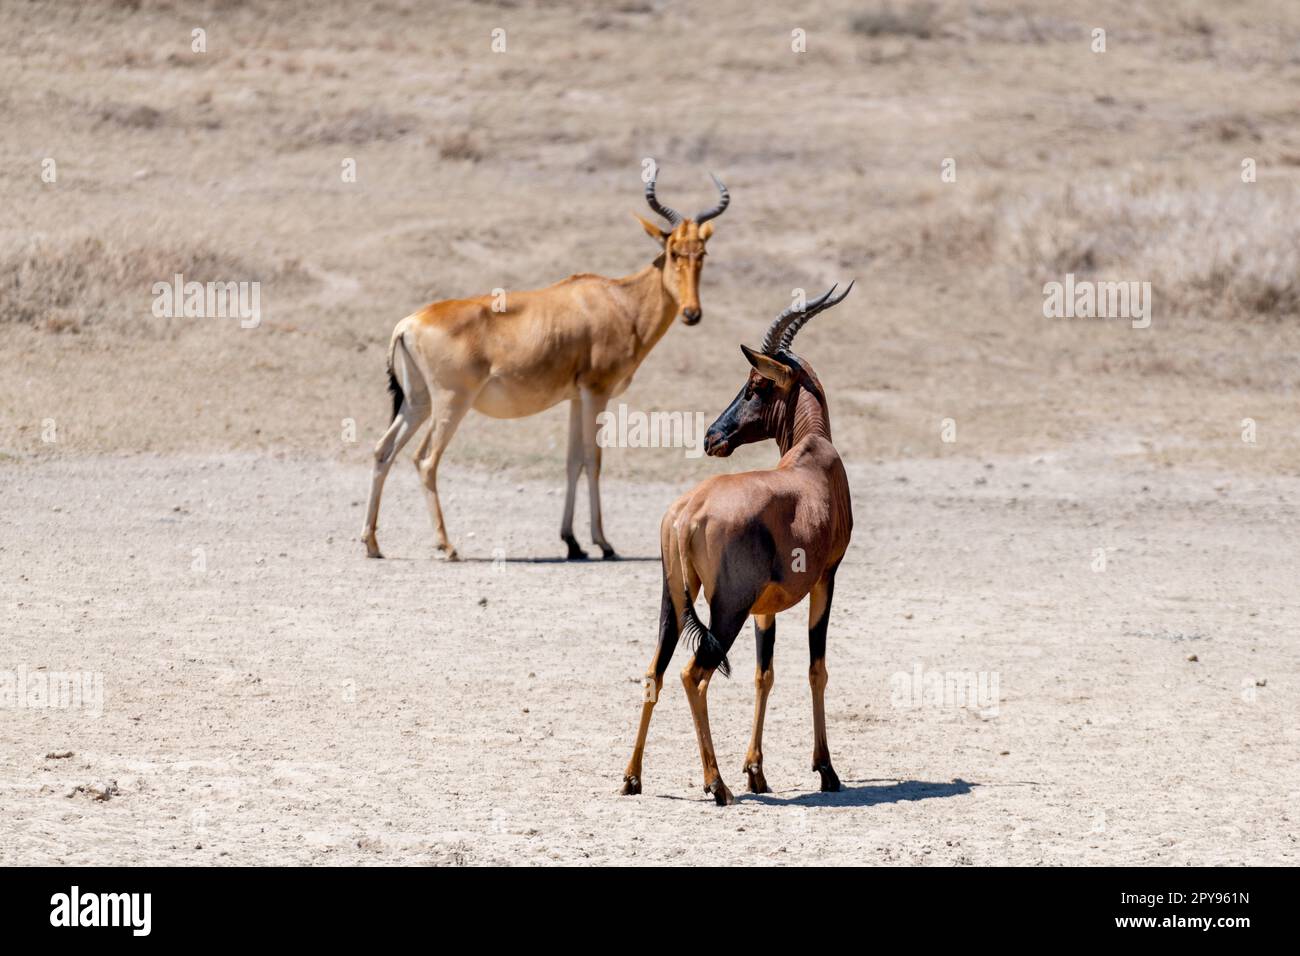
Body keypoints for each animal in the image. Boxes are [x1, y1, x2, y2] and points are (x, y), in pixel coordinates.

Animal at [364, 171, 733, 561]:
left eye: (701, 252)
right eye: (673, 250)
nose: (691, 313)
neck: (617, 300)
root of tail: (409, 322)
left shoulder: (575, 397)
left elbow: (572, 462)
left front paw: (572, 542)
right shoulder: (597, 392)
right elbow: (593, 459)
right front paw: (603, 543)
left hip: (417, 402)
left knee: (383, 450)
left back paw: (372, 542)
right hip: (451, 403)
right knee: (425, 460)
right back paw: (447, 545)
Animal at [618, 282, 852, 806]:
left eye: (755, 385)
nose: (712, 437)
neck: (812, 459)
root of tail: (687, 513)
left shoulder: (766, 604)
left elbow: (764, 674)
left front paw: (756, 772)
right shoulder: (826, 579)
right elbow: (817, 669)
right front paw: (826, 770)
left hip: (674, 601)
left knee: (654, 671)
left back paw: (632, 778)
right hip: (728, 607)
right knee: (693, 674)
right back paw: (716, 784)